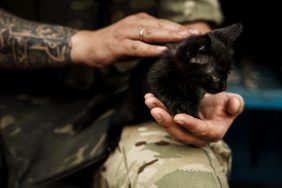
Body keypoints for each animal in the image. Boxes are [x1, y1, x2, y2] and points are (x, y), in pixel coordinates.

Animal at [72, 23, 242, 134]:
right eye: (215, 75)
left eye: (227, 74)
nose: (224, 87)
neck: (186, 80)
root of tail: (129, 86)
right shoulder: (155, 74)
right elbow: (166, 89)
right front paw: (183, 106)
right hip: (134, 107)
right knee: (115, 118)